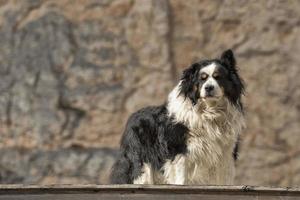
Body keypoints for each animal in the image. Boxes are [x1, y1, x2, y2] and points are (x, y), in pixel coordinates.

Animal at [109, 49, 245, 185]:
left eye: (218, 77)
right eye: (202, 79)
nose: (208, 88)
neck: (210, 110)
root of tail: (132, 117)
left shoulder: (226, 150)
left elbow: (224, 176)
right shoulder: (179, 147)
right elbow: (181, 173)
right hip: (139, 155)